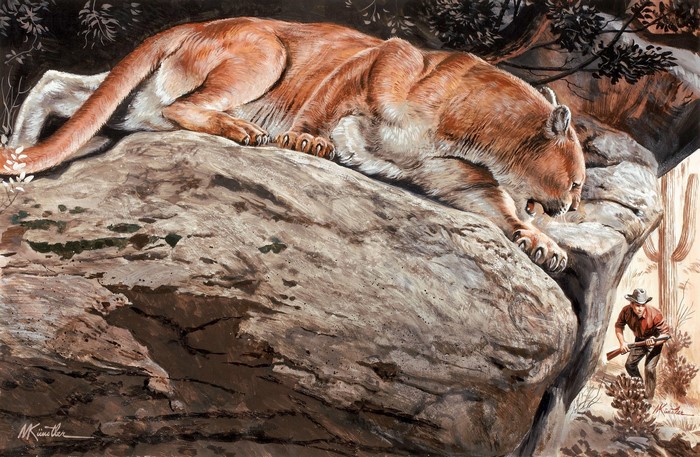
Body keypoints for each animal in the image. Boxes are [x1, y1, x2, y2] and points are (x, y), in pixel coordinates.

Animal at [2, 17, 585, 272]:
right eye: (577, 180)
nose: (572, 206)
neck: (469, 131)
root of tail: (190, 24)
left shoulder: (457, 177)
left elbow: (500, 207)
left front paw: (542, 244)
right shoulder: (370, 65)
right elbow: (322, 107)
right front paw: (306, 139)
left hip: (138, 104)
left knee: (62, 84)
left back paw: (19, 159)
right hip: (264, 51)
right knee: (182, 106)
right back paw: (247, 131)